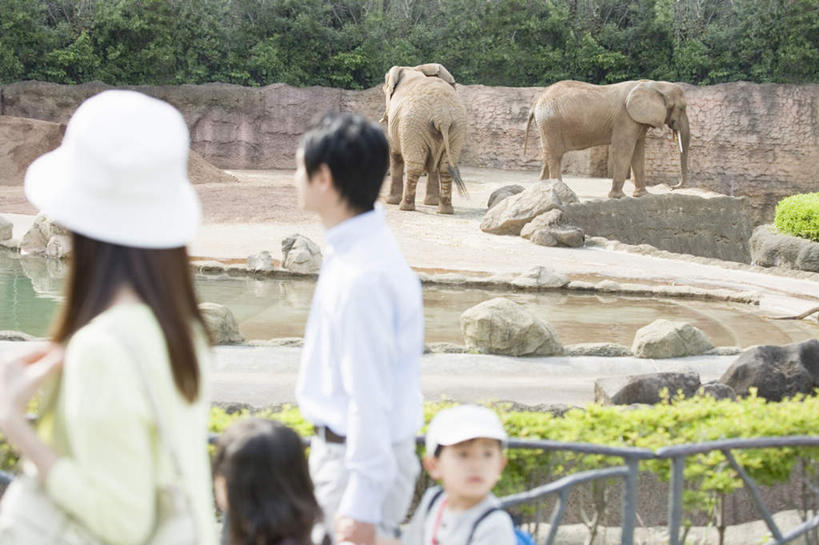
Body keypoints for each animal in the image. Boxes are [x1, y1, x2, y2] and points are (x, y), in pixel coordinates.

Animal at [382, 63, 467, 214]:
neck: (413, 69)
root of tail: (443, 117)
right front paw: (431, 203)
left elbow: (395, 154)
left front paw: (390, 202)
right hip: (457, 127)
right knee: (445, 167)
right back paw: (444, 210)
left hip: (413, 124)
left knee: (414, 165)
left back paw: (405, 207)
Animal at [524, 80, 690, 199]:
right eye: (682, 108)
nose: (672, 187)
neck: (656, 85)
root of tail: (536, 103)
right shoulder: (626, 119)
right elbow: (623, 150)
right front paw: (618, 197)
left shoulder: (637, 121)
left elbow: (638, 152)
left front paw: (643, 195)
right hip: (550, 123)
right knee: (555, 156)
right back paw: (561, 192)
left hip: (547, 125)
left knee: (548, 155)